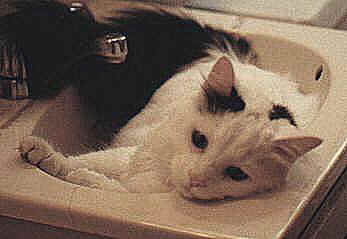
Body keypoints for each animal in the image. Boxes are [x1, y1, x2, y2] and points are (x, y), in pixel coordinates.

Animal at [2, 0, 324, 200]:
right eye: (199, 140)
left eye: (236, 173)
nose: (195, 179)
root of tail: (228, 53)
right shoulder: (132, 155)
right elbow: (79, 162)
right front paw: (42, 154)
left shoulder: (135, 187)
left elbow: (107, 185)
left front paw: (86, 179)